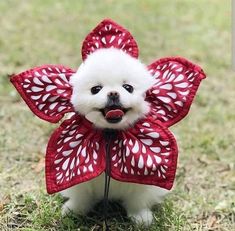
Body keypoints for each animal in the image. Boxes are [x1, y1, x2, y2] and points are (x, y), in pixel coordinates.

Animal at [60, 48, 169, 226]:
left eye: (128, 87)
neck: (110, 134)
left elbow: (137, 201)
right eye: (95, 89)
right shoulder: (80, 178)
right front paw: (74, 211)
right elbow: (81, 196)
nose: (113, 93)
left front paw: (140, 217)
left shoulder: (142, 181)